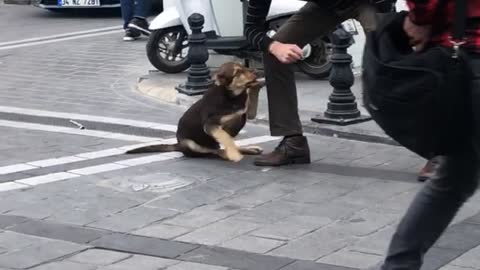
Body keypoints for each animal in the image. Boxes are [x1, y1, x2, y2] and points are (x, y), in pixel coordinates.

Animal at [124, 62, 262, 161]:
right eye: (237, 72)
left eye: (243, 66)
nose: (256, 72)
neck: (231, 96)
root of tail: (178, 144)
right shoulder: (209, 125)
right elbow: (226, 137)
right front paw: (233, 154)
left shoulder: (244, 114)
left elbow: (230, 134)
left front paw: (256, 87)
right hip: (191, 144)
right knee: (215, 152)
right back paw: (229, 154)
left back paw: (247, 149)